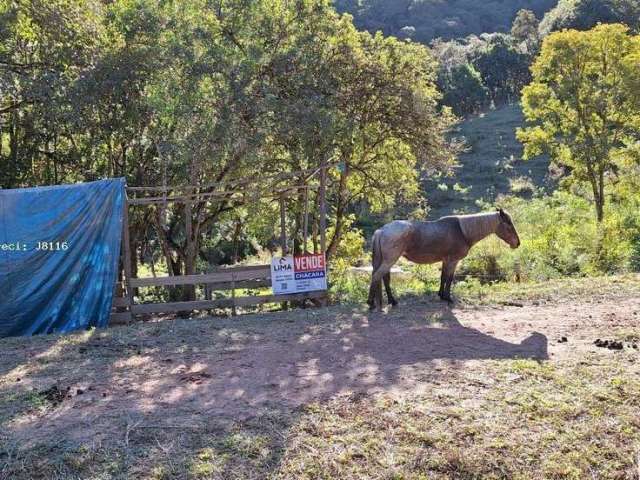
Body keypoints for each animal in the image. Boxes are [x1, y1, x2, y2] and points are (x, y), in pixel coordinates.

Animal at [364, 208, 520, 310]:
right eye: (508, 225)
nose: (517, 243)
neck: (463, 231)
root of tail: (381, 230)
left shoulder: (446, 260)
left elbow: (443, 277)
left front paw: (440, 295)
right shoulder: (453, 261)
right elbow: (450, 278)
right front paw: (448, 298)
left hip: (387, 261)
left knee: (384, 278)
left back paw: (392, 301)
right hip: (390, 260)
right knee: (377, 276)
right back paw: (371, 303)